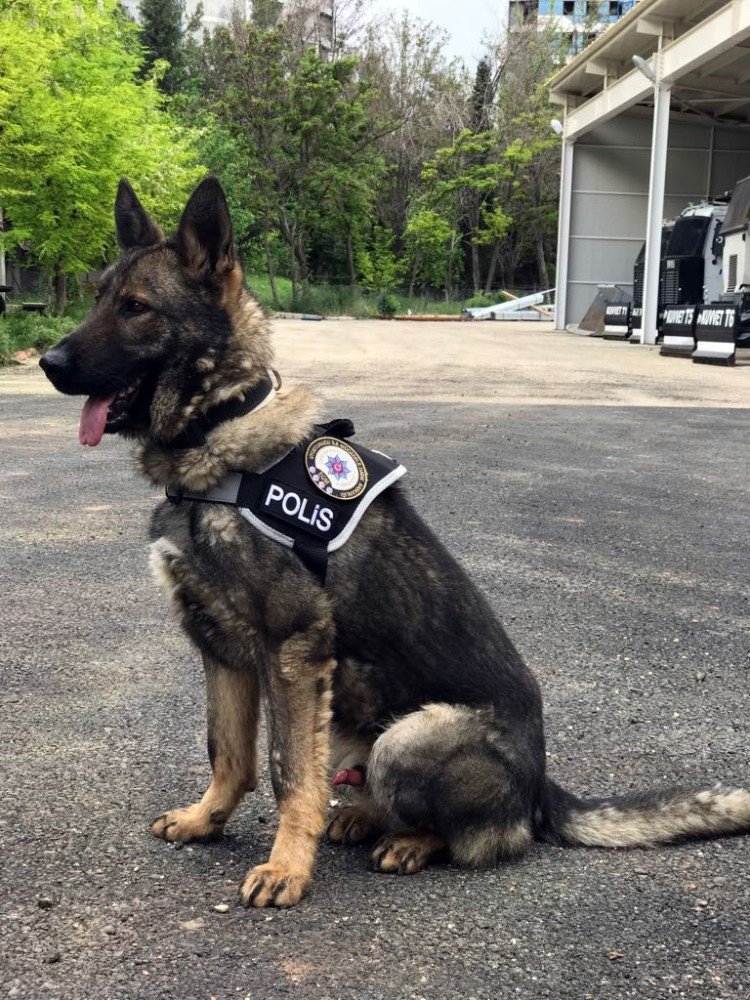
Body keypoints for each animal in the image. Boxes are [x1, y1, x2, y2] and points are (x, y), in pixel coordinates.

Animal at [41, 178, 750, 908]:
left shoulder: (291, 650)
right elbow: (228, 753)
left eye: (137, 308)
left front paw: (288, 866)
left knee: (491, 839)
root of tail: (541, 787)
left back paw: (410, 841)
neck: (220, 429)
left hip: (406, 739)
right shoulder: (221, 651)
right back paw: (360, 817)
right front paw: (206, 820)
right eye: (99, 296)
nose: (46, 362)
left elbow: (287, 772)